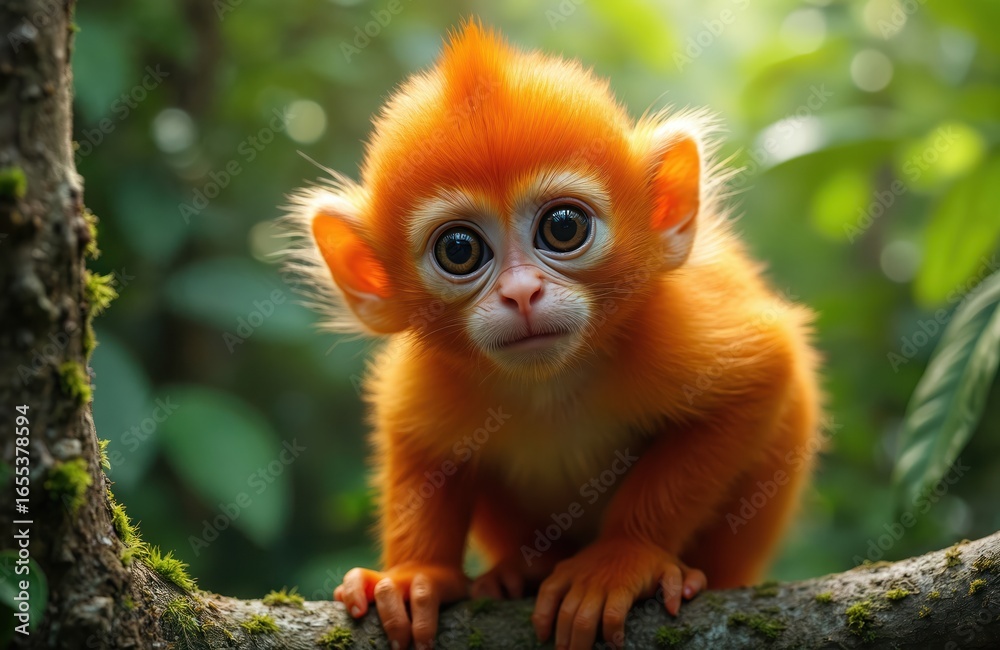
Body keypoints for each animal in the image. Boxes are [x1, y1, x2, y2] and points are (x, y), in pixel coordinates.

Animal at [283, 20, 821, 650]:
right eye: (459, 249)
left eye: (563, 227)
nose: (521, 294)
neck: (552, 384)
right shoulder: (432, 377)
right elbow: (421, 446)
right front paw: (420, 573)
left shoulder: (672, 328)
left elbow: (760, 376)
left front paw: (621, 557)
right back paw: (521, 570)